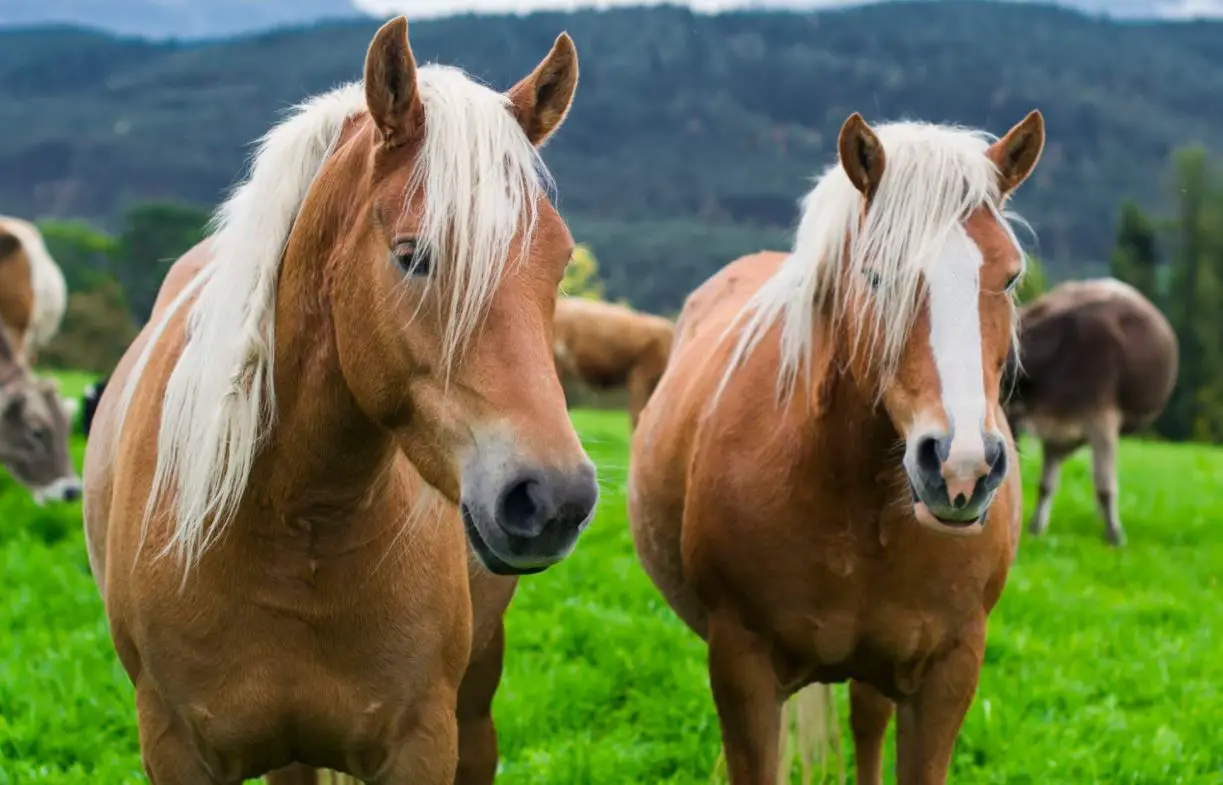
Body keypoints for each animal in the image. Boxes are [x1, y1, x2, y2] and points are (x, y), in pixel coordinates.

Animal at [81, 16, 596, 777]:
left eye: (559, 264)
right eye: (413, 255)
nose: (554, 496)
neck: (294, 518)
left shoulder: (423, 745)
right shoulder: (175, 748)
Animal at [1002, 276, 1174, 542]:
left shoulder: (1101, 419)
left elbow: (1105, 486)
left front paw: (1114, 535)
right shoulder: (1055, 428)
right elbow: (1045, 485)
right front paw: (1036, 528)